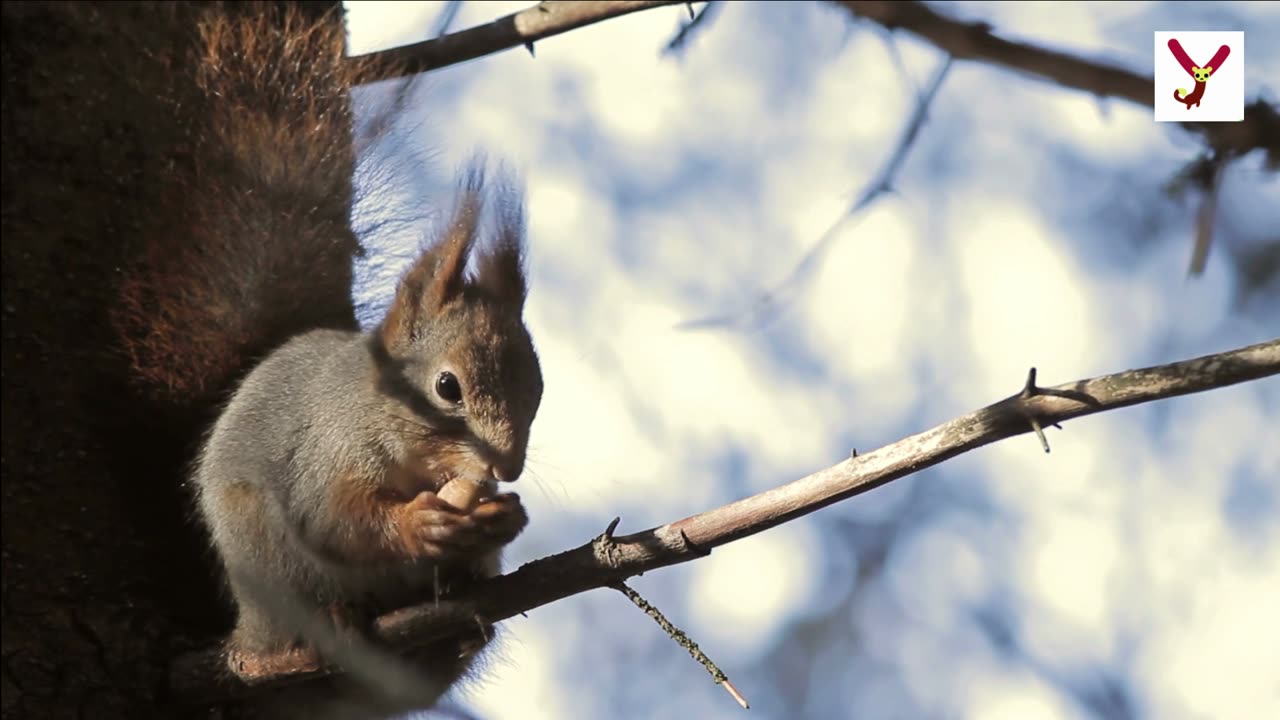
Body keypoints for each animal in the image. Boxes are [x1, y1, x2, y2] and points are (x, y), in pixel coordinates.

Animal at [107, 0, 542, 707]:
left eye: (538, 389)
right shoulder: (324, 450)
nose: (505, 468)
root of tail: (245, 634)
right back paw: (323, 629)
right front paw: (422, 526)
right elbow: (335, 520)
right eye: (447, 387)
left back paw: (455, 631)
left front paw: (504, 517)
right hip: (267, 562)